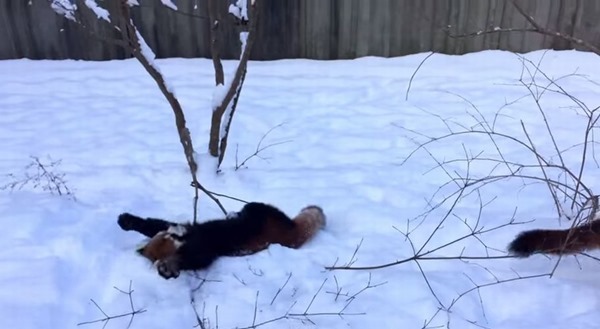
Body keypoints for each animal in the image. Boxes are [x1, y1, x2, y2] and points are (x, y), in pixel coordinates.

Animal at [115, 201, 326, 278]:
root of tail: (290, 236)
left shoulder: (195, 237)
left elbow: (155, 224)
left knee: (250, 206)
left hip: (260, 212)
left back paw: (234, 213)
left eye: (172, 236)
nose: (178, 232)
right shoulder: (202, 250)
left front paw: (127, 220)